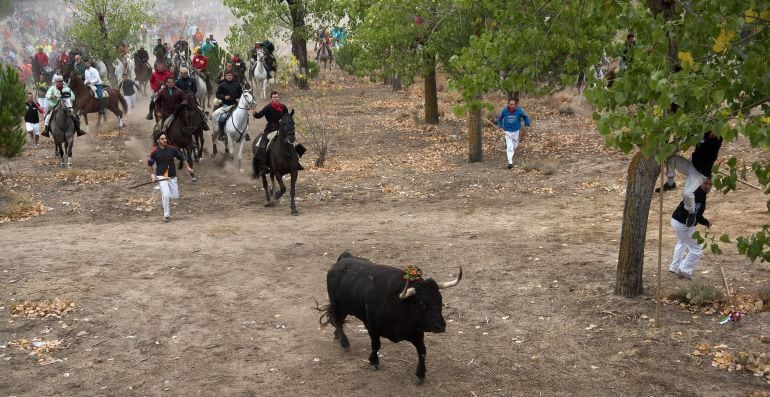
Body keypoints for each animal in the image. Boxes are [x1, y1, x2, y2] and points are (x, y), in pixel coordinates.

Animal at [320, 251, 462, 384]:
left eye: (440, 301)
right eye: (422, 304)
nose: (441, 326)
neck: (400, 304)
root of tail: (345, 257)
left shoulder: (416, 332)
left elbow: (422, 351)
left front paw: (421, 374)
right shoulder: (372, 327)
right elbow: (376, 345)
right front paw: (374, 362)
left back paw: (337, 336)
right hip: (338, 304)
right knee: (337, 320)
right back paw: (344, 342)